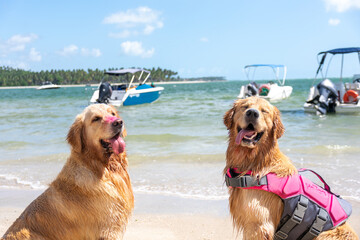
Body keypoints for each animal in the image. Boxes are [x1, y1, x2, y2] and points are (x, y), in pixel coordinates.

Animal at [222, 96, 358, 240]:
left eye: (264, 111)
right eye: (245, 106)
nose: (252, 113)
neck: (256, 162)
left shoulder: (258, 225)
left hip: (325, 234)